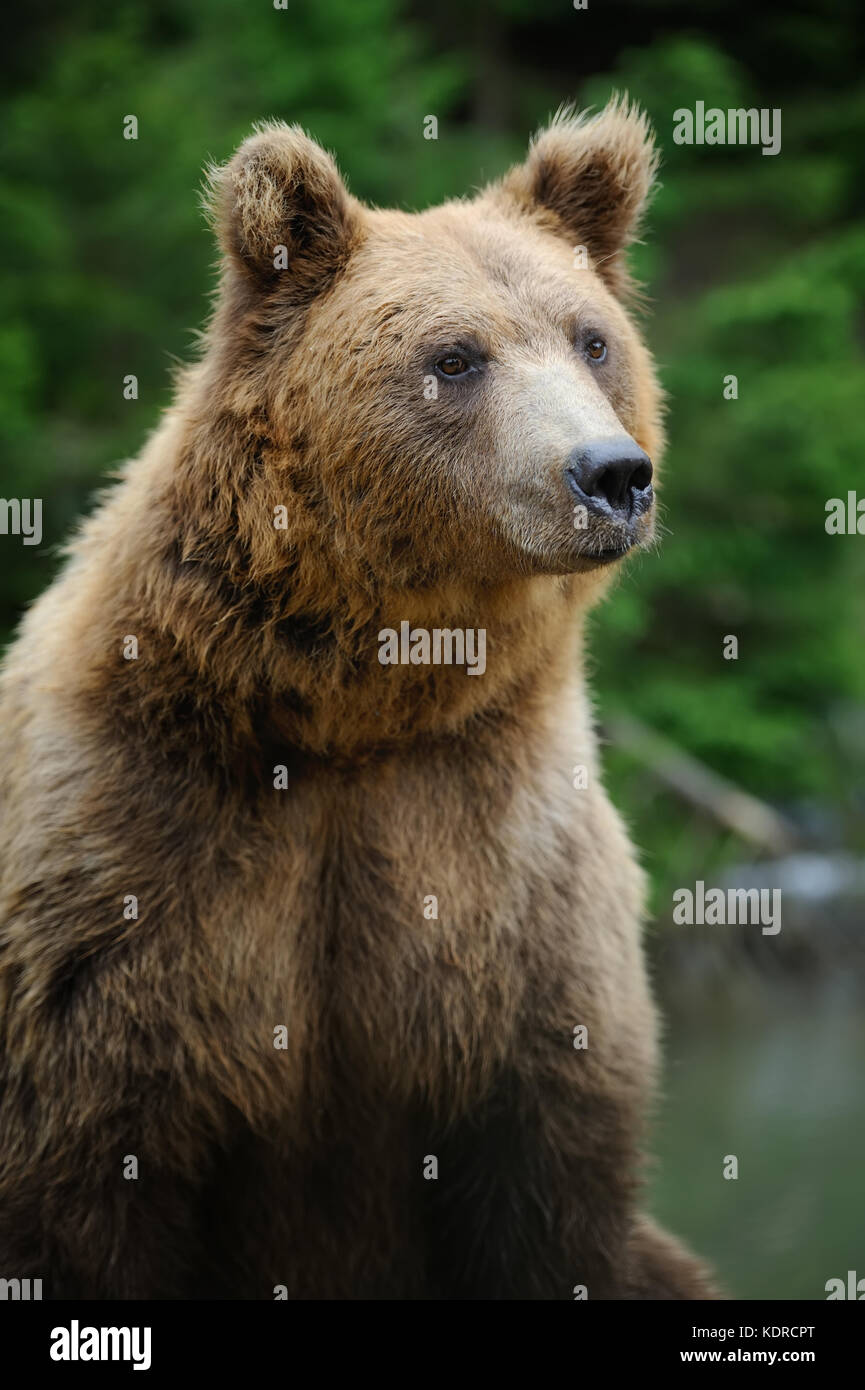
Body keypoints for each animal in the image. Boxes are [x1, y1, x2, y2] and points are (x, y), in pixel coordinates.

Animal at [0, 99, 718, 1300]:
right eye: (454, 356)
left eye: (590, 337)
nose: (610, 473)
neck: (352, 713)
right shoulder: (118, 881)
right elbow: (84, 1186)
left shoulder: (509, 884)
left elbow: (553, 1180)